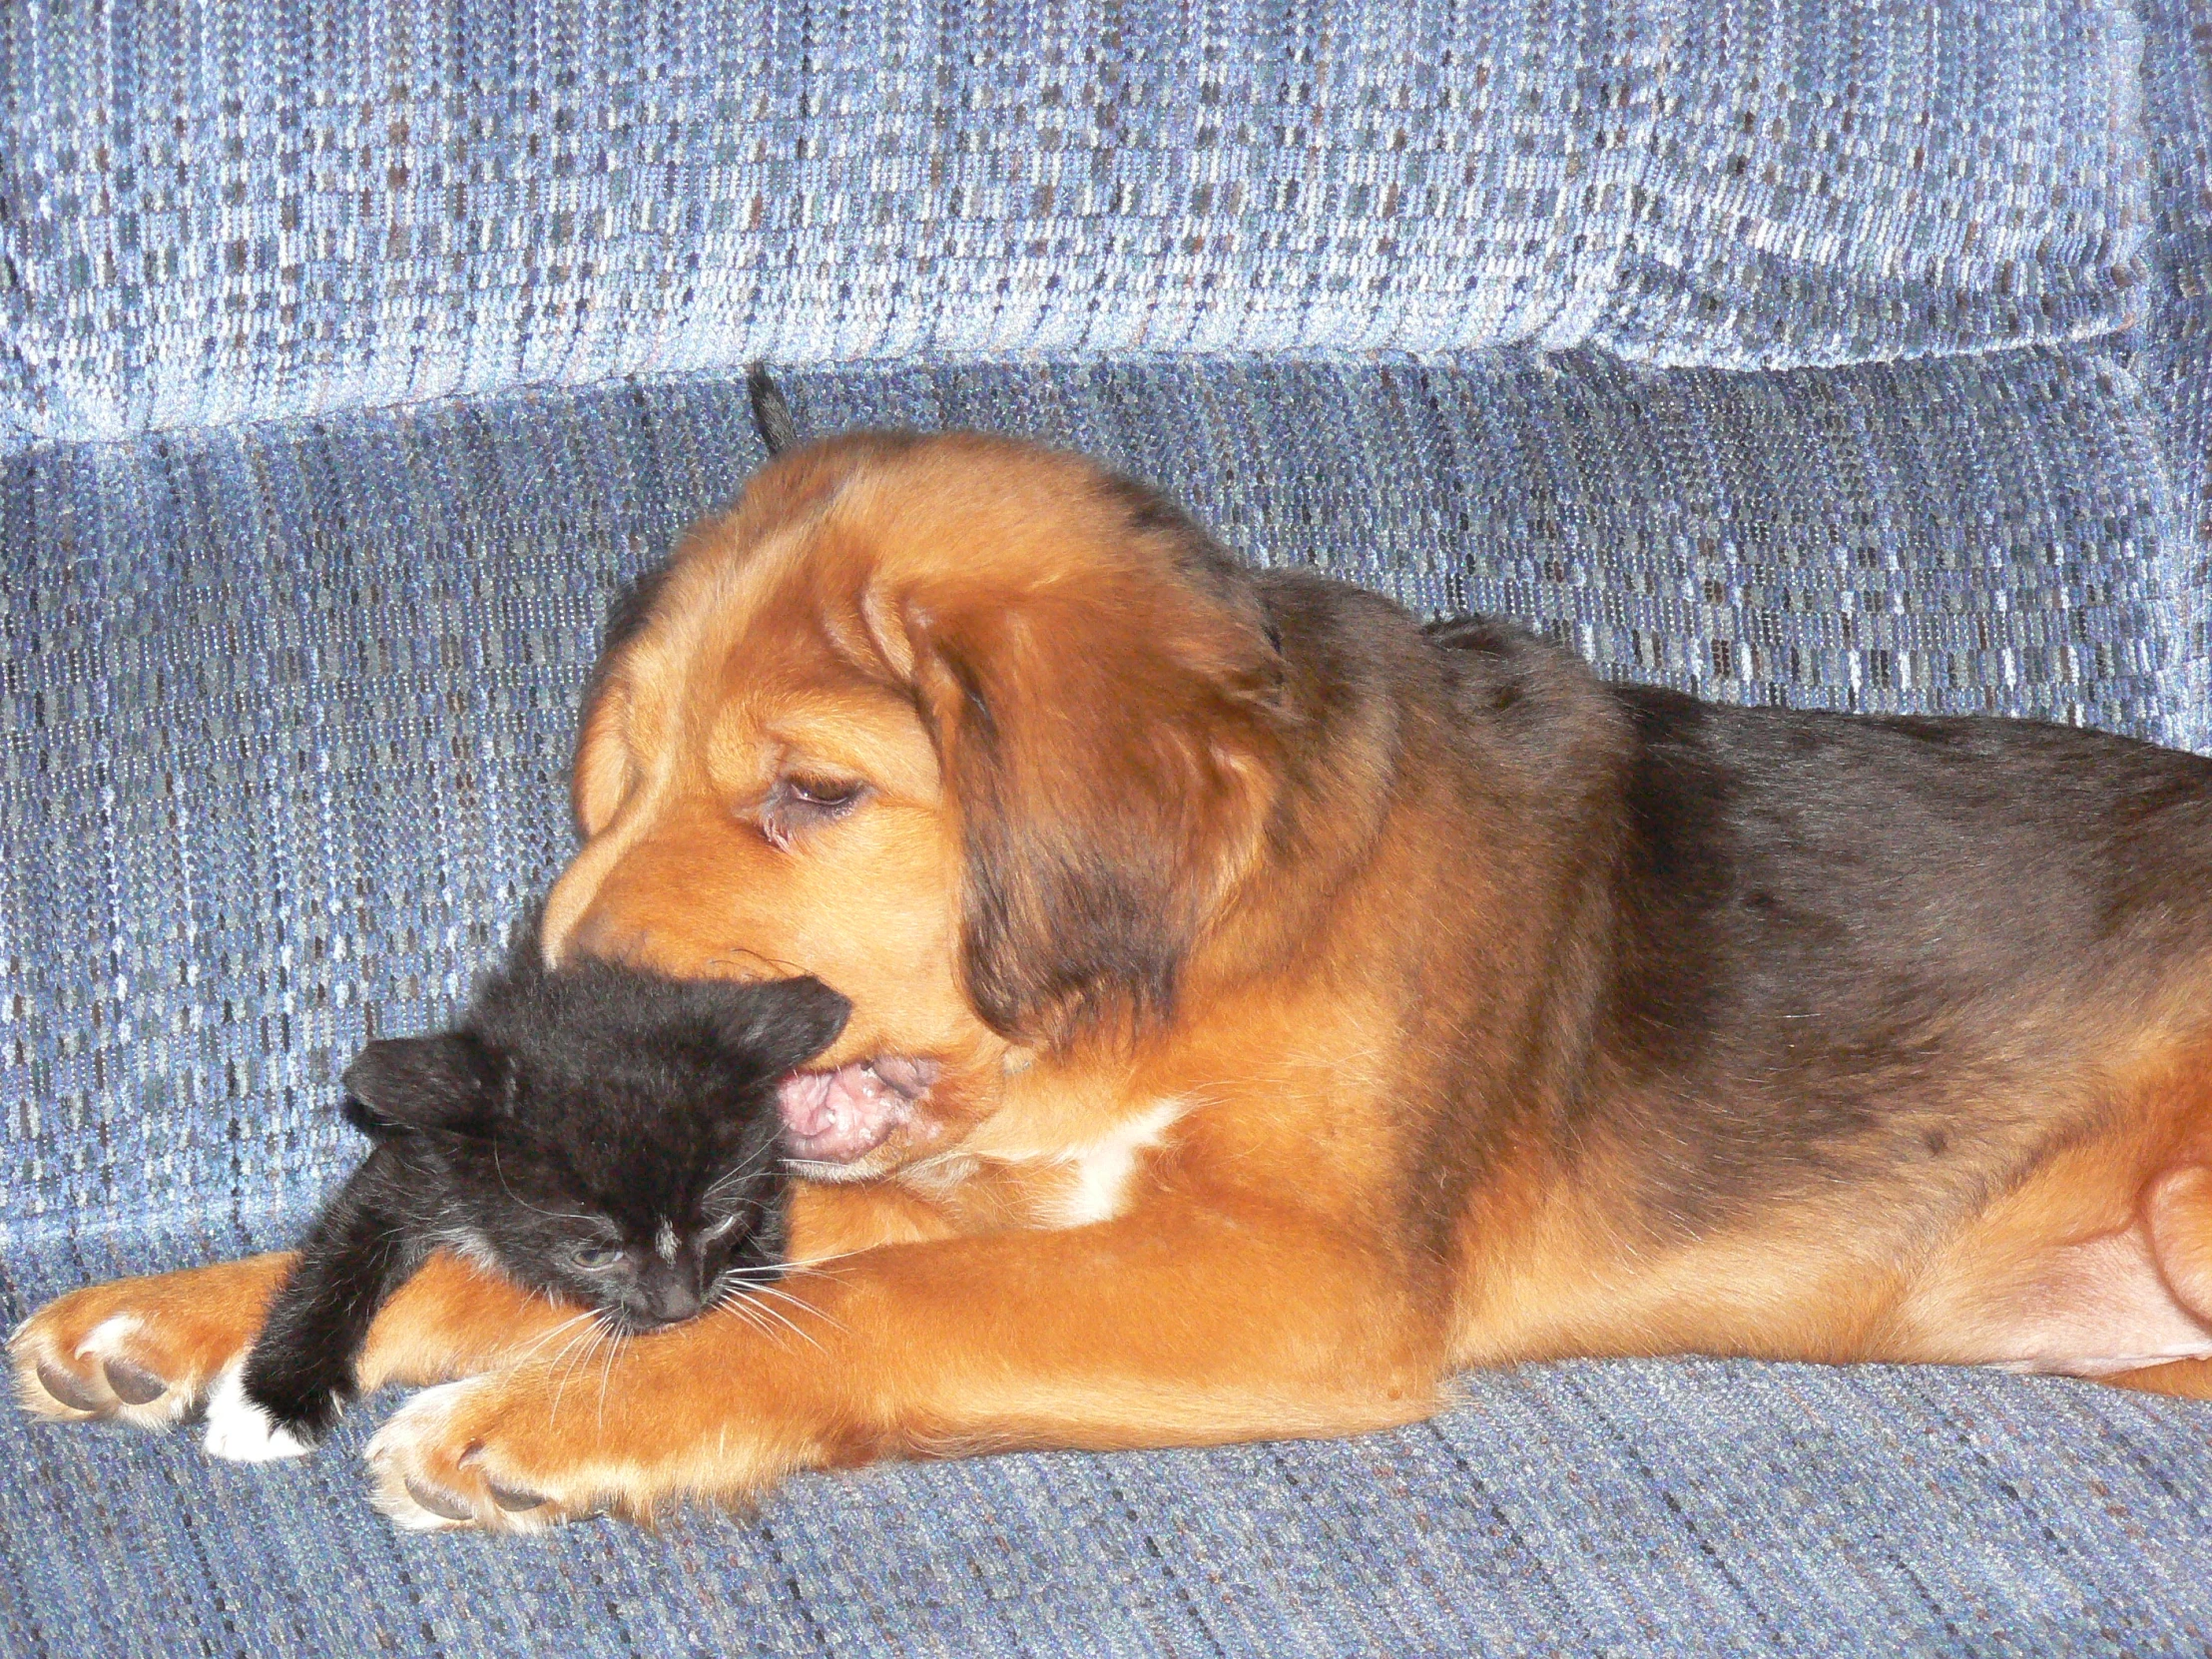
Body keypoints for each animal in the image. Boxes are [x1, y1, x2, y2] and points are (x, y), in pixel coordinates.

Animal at [206, 937, 844, 1468]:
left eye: (719, 1220)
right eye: (591, 1254)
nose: (678, 1306)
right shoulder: (421, 1161)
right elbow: (341, 1252)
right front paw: (272, 1398)